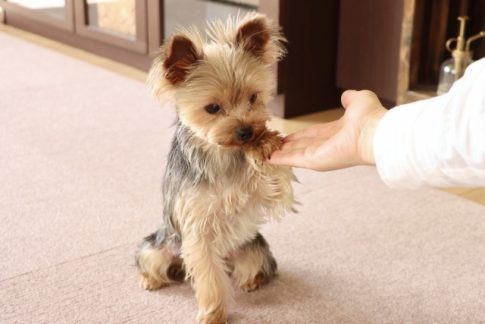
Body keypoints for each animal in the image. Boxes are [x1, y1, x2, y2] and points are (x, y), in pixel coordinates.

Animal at [134, 12, 296, 324]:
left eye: (253, 98)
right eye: (212, 108)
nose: (247, 131)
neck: (223, 155)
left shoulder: (269, 194)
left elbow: (274, 187)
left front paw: (266, 144)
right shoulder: (199, 230)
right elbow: (210, 278)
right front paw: (213, 314)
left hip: (254, 248)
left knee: (253, 266)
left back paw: (252, 281)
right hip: (159, 246)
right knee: (156, 262)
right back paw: (150, 279)